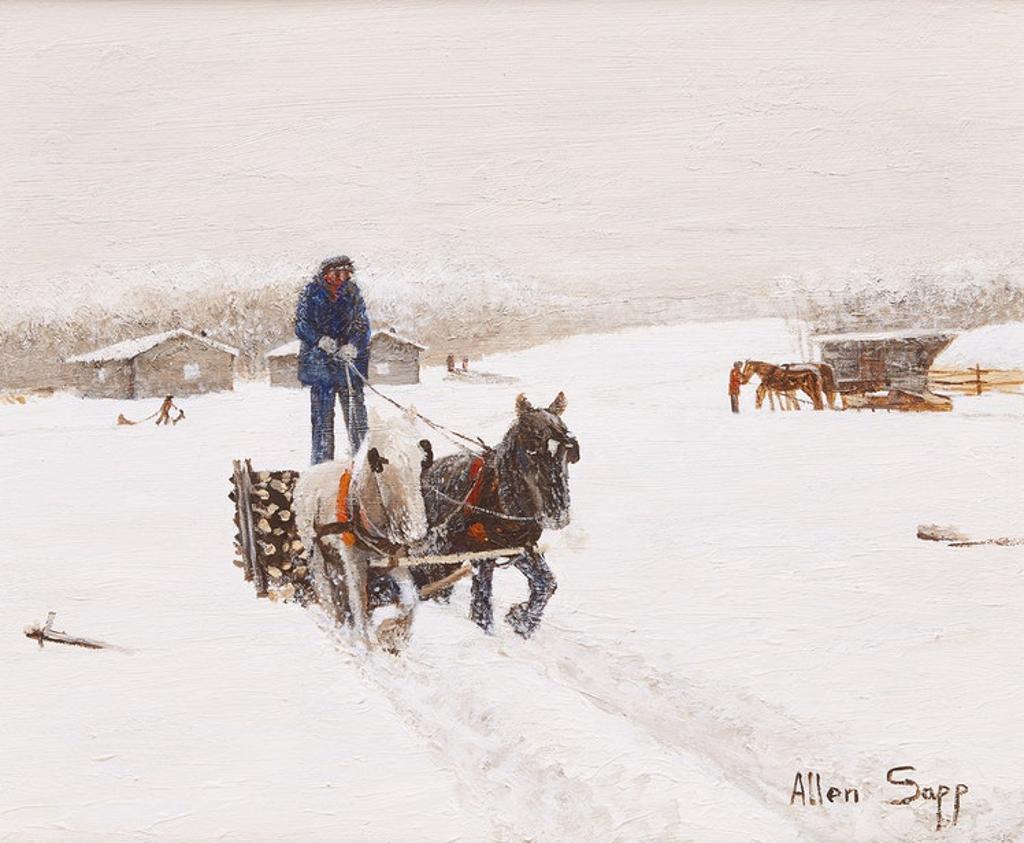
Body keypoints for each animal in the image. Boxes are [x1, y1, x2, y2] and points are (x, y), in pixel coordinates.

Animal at [292, 405, 432, 651]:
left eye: (422, 460)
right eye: (381, 461)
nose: (414, 529)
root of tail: (307, 475)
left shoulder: (394, 560)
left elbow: (410, 600)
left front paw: (393, 632)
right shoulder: (353, 562)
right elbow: (359, 608)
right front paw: (365, 648)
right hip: (316, 554)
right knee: (326, 594)